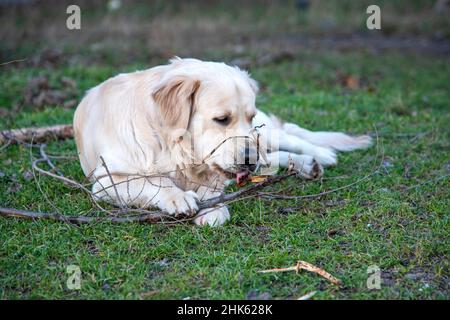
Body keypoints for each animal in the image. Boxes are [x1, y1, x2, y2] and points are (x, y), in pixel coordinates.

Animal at [73, 58, 370, 226]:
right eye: (221, 119)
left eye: (249, 117)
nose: (248, 160)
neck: (173, 145)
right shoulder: (106, 181)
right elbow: (154, 182)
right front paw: (178, 197)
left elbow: (212, 186)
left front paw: (213, 207)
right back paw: (307, 164)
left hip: (263, 134)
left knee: (289, 134)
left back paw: (320, 154)